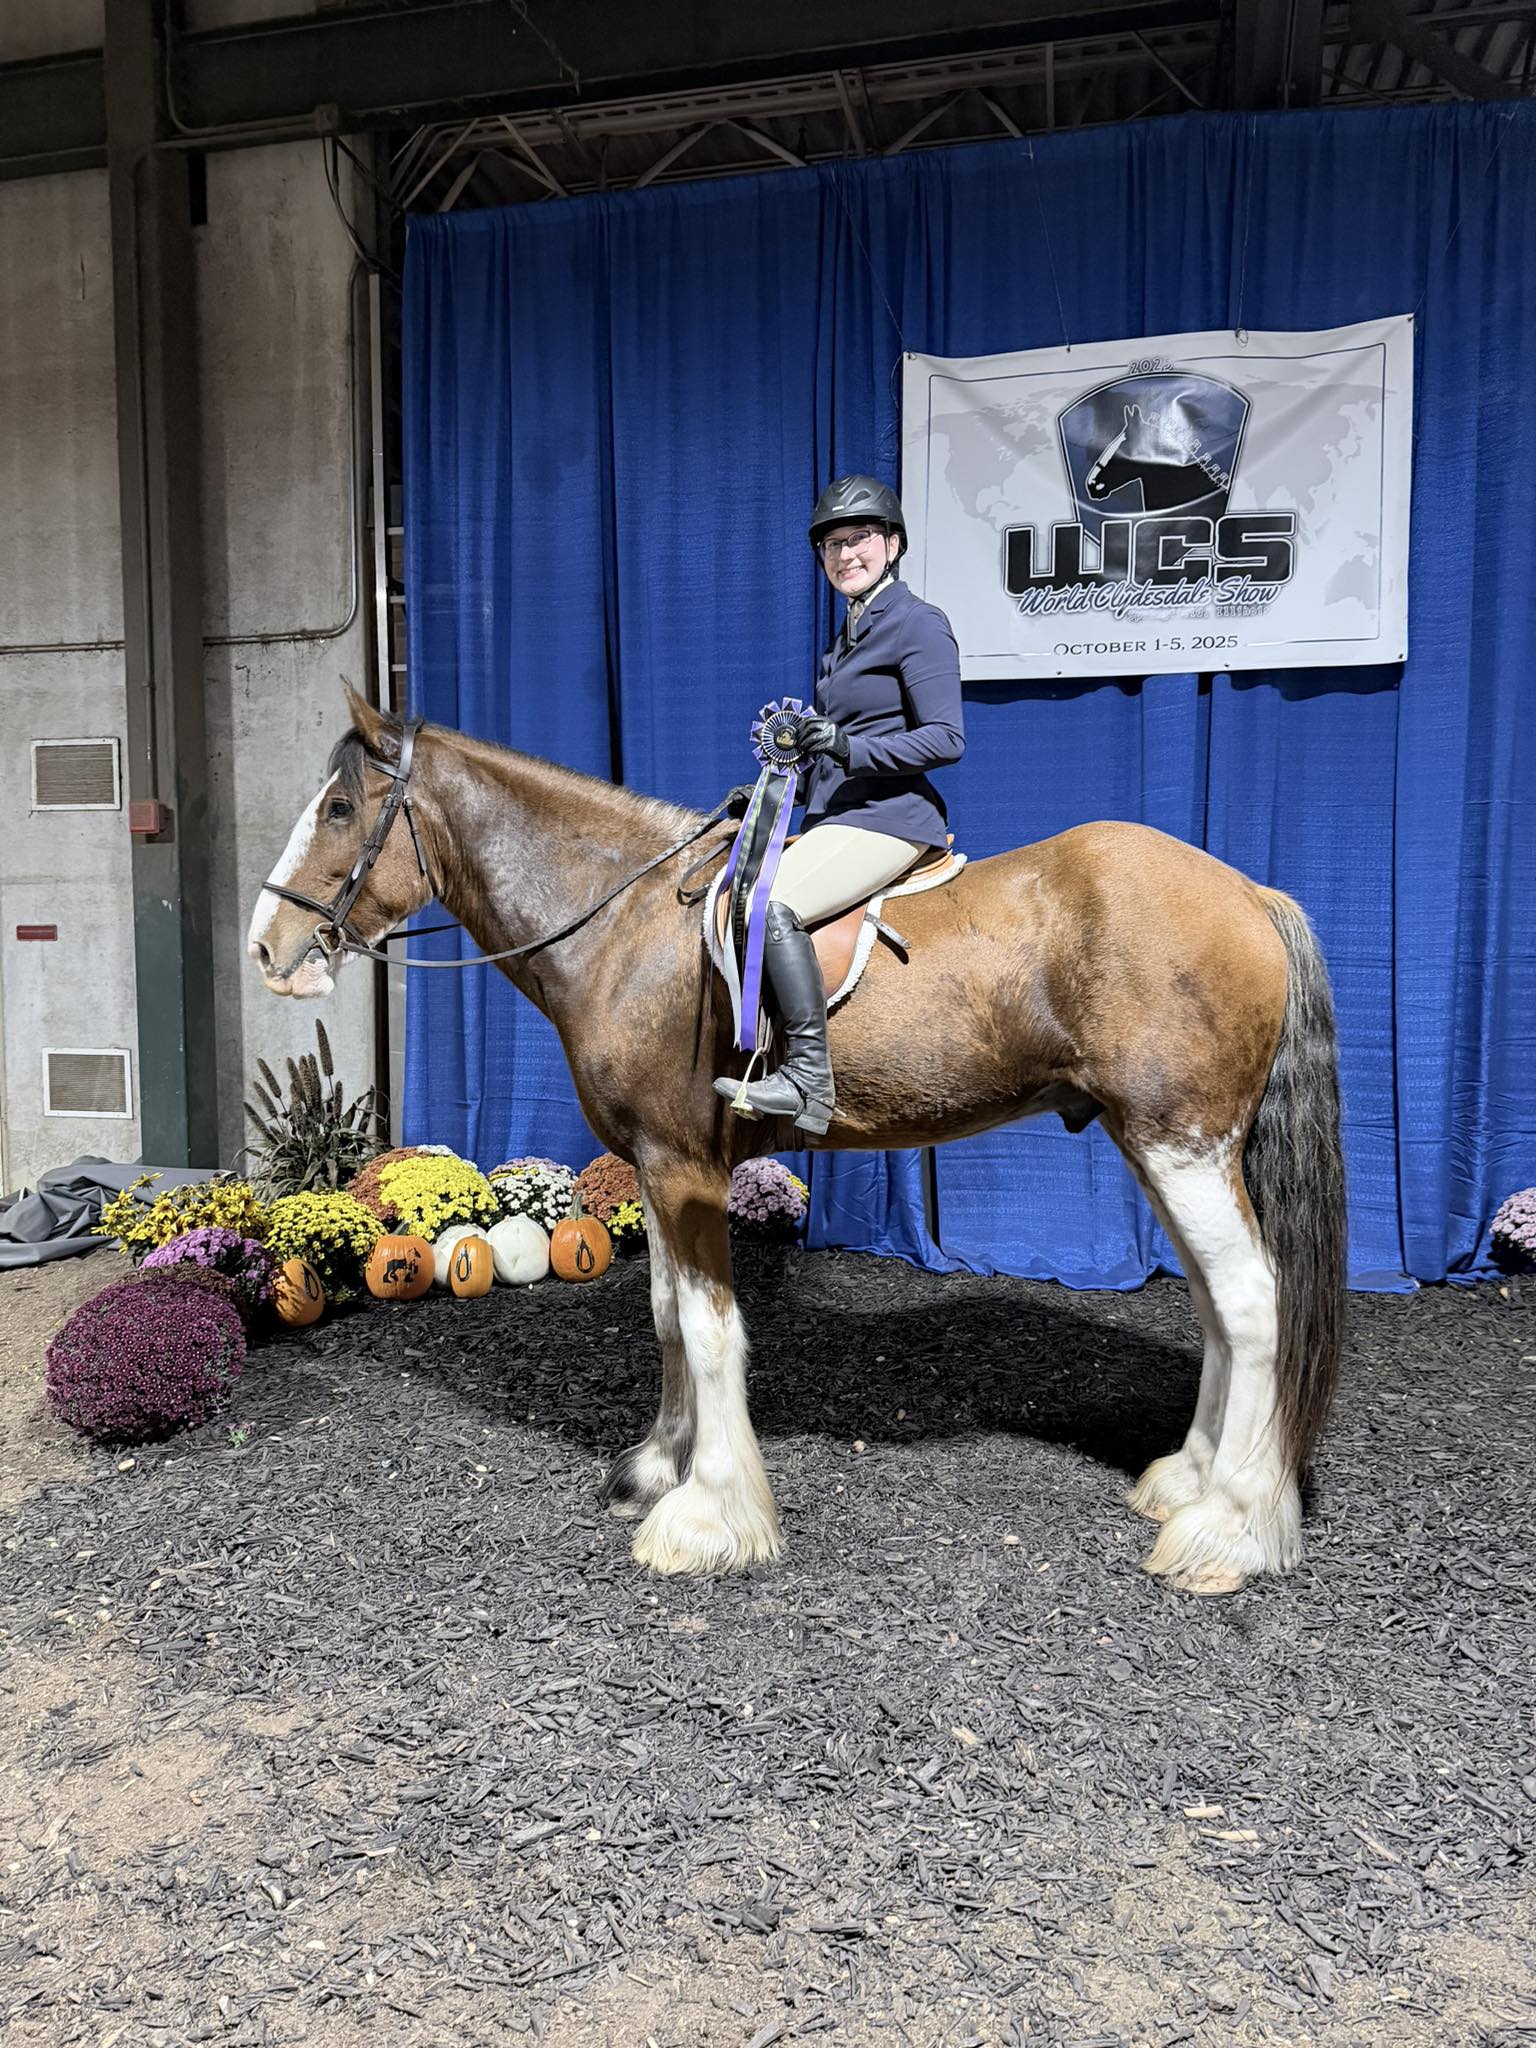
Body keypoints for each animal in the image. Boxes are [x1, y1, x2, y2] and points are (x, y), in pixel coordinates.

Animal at [248, 689, 1346, 1597]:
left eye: (340, 809)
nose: (266, 947)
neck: (627, 921)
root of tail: (1248, 894)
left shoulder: (685, 1167)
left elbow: (710, 1329)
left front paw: (707, 1517)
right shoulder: (654, 1165)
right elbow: (666, 1314)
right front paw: (658, 1465)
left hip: (1181, 1146)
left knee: (1252, 1301)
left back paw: (1229, 1530)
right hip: (1158, 1146)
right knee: (1217, 1303)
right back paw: (1187, 1481)